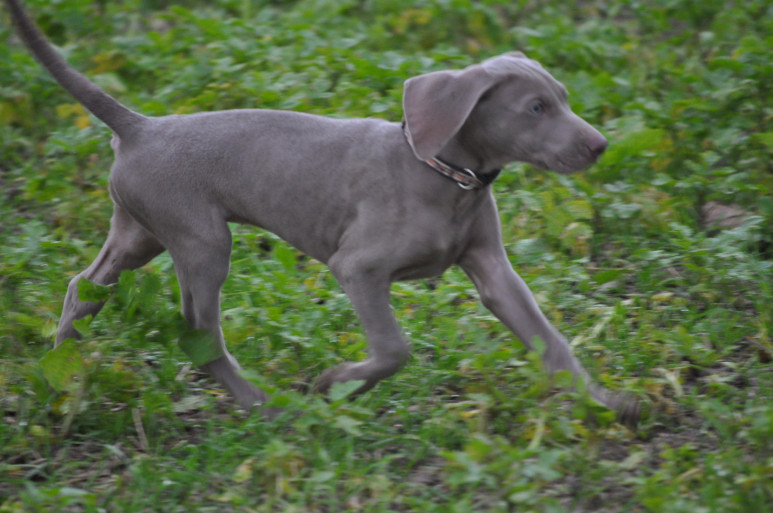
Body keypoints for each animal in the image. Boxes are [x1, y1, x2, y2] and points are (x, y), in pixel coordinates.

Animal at [7, 0, 640, 424]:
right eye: (535, 107)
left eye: (563, 98)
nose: (600, 146)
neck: (446, 177)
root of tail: (140, 126)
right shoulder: (358, 267)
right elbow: (393, 349)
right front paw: (340, 384)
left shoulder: (494, 271)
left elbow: (550, 341)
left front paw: (604, 402)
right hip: (202, 241)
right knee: (198, 331)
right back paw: (264, 403)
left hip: (142, 233)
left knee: (83, 286)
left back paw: (62, 371)